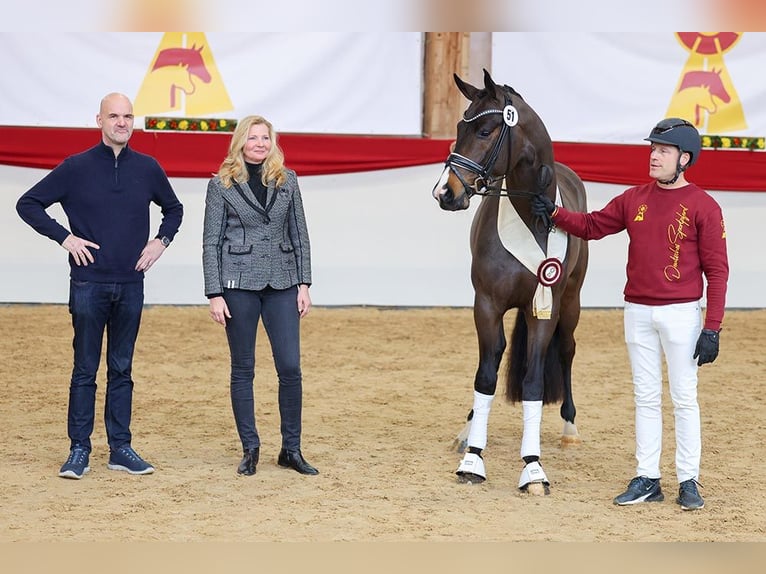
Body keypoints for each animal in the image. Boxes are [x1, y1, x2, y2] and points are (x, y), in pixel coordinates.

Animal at [432, 71, 588, 496]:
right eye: (459, 128)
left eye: (486, 131)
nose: (445, 192)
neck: (531, 214)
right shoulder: (486, 303)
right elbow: (485, 374)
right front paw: (473, 458)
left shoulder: (544, 310)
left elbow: (533, 382)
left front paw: (533, 468)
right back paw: (467, 429)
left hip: (571, 302)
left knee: (566, 351)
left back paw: (569, 429)